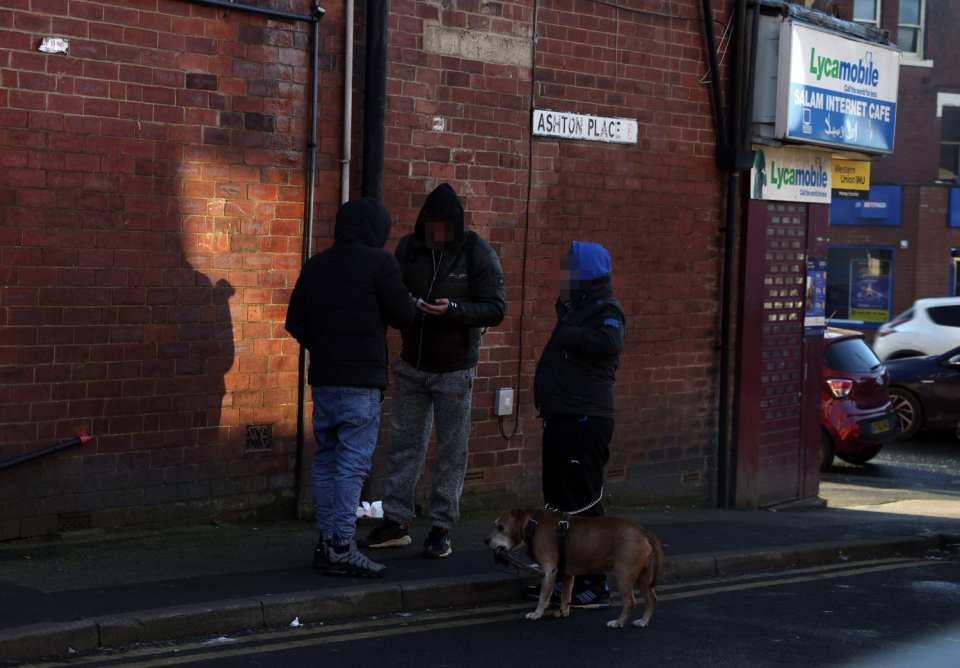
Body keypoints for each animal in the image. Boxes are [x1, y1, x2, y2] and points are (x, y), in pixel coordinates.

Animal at [488, 508, 660, 628]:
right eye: (495, 525)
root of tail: (642, 531)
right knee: (652, 598)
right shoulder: (567, 574)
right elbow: (565, 596)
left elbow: (543, 596)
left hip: (624, 574)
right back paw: (643, 621)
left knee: (630, 601)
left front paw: (537, 613)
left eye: (501, 527)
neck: (532, 523)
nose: (485, 540)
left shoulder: (549, 571)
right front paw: (563, 612)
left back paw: (618, 623)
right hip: (642, 577)